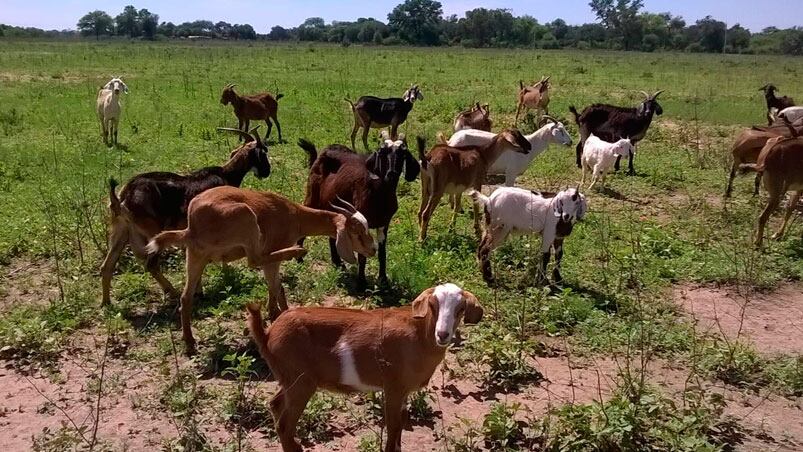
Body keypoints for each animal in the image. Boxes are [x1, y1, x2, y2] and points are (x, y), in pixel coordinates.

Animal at [99, 126, 270, 308]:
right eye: (263, 152)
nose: (267, 172)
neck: (227, 174)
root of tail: (123, 198)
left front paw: (200, 290)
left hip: (120, 230)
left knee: (107, 266)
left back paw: (106, 302)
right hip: (152, 231)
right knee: (151, 264)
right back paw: (173, 293)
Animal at [146, 186, 378, 354]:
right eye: (357, 232)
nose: (373, 249)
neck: (294, 214)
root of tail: (192, 226)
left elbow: (273, 286)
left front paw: (274, 312)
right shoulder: (271, 254)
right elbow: (277, 285)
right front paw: (285, 317)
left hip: (195, 256)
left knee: (186, 297)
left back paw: (189, 342)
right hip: (245, 217)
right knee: (253, 260)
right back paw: (296, 250)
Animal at [245, 282, 484, 452]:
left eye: (461, 309)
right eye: (433, 306)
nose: (442, 334)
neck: (419, 336)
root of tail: (267, 334)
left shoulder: (404, 391)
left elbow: (401, 422)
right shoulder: (393, 388)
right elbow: (393, 425)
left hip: (288, 379)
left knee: (275, 405)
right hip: (300, 382)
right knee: (285, 424)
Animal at [296, 131, 420, 286]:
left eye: (403, 154)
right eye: (382, 152)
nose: (391, 174)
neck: (379, 194)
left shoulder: (384, 223)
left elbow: (382, 252)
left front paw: (383, 280)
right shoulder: (359, 221)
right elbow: (362, 254)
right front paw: (361, 282)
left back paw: (338, 264)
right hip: (312, 197)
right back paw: (299, 258)